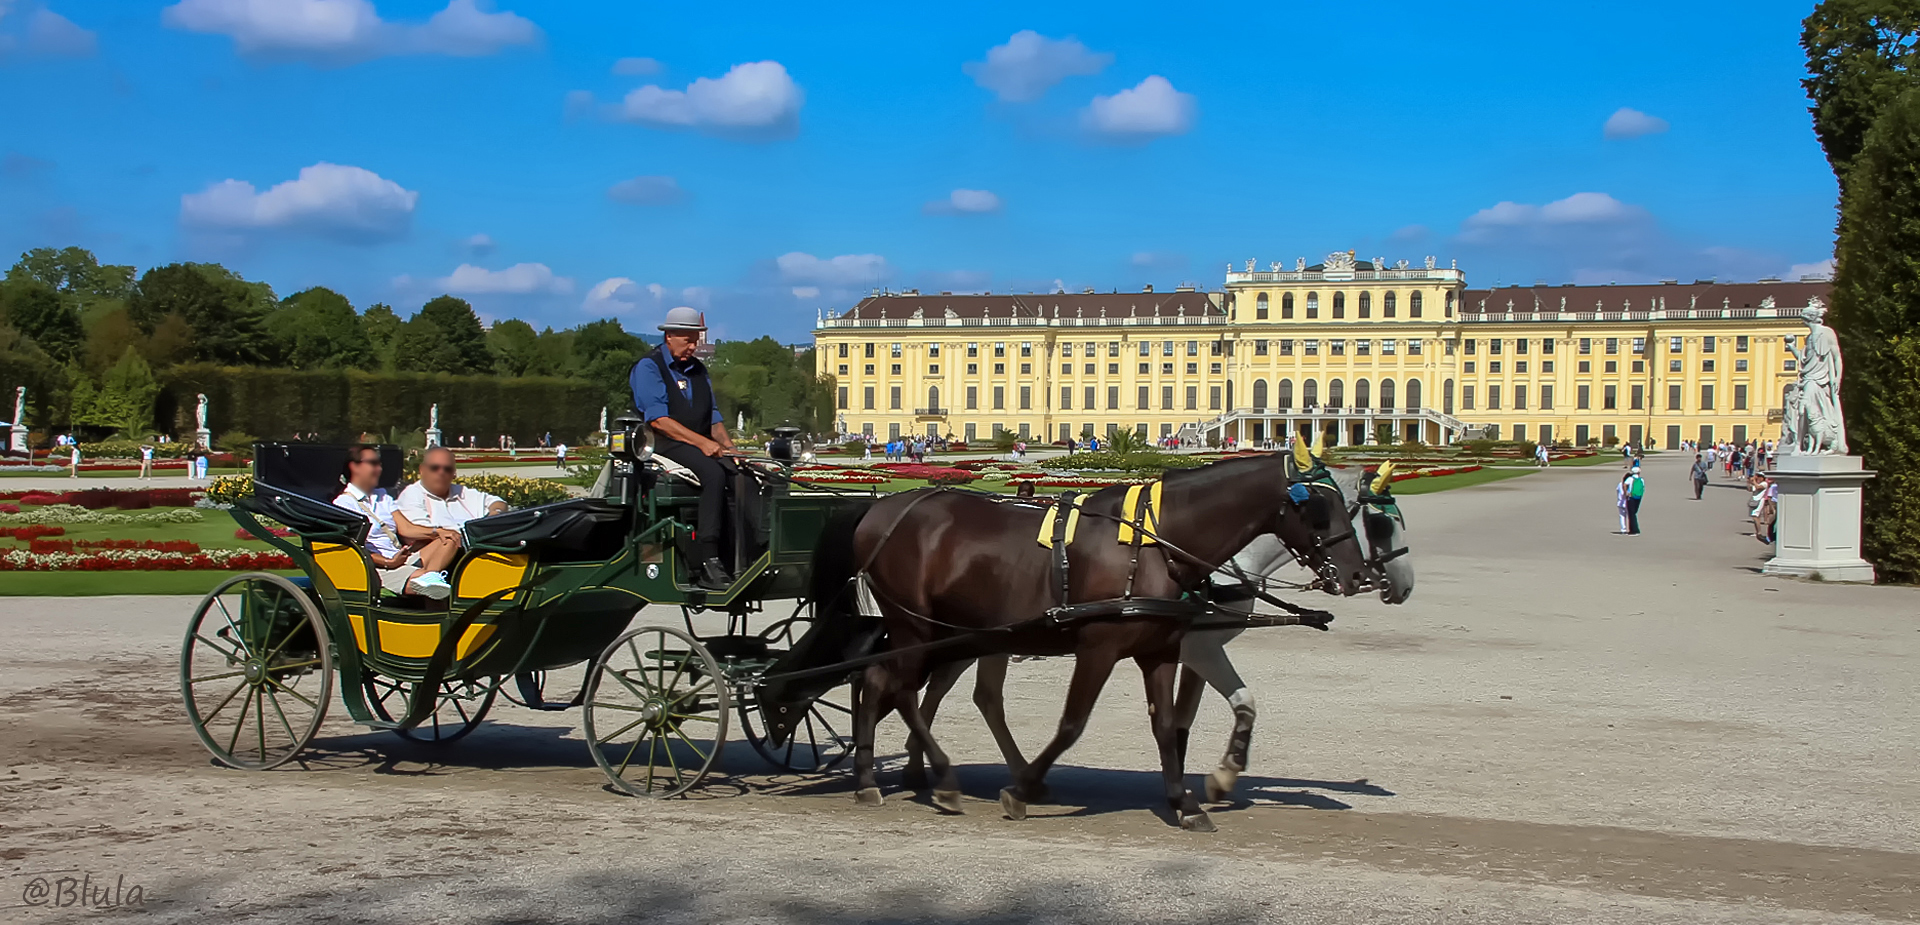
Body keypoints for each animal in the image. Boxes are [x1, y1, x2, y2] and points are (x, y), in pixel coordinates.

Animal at [775, 452, 1367, 832]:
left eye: (1354, 509)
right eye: (1320, 508)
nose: (1359, 576)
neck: (1155, 545)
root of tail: (879, 507)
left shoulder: (1160, 651)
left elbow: (1166, 727)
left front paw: (1184, 802)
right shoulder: (1100, 649)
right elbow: (1072, 724)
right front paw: (1020, 790)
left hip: (943, 631)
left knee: (882, 682)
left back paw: (872, 776)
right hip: (915, 625)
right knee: (897, 688)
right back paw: (938, 779)